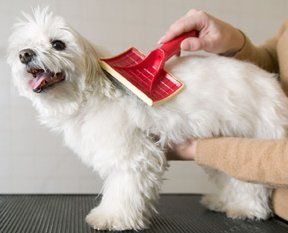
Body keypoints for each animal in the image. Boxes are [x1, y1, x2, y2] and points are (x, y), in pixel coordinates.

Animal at [7, 7, 288, 231]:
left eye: (58, 44)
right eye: (24, 46)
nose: (25, 54)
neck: (89, 95)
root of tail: (271, 83)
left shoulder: (132, 156)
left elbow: (123, 190)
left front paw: (112, 217)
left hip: (254, 136)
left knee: (251, 185)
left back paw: (245, 207)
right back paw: (223, 201)